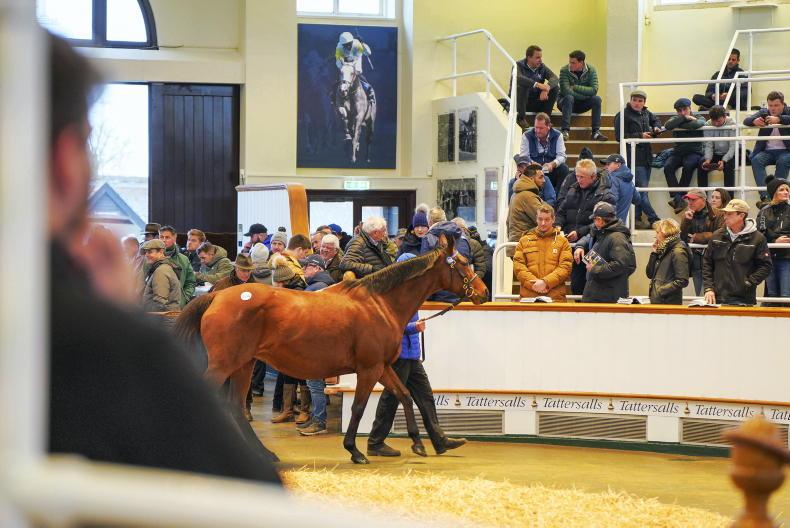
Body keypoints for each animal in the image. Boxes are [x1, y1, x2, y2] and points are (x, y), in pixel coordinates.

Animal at [174, 235, 488, 464]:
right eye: (461, 263)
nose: (483, 292)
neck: (378, 303)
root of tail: (216, 298)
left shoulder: (383, 367)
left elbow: (405, 396)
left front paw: (420, 443)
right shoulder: (369, 369)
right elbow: (360, 407)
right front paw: (355, 450)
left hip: (243, 365)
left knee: (237, 406)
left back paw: (264, 454)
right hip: (223, 365)